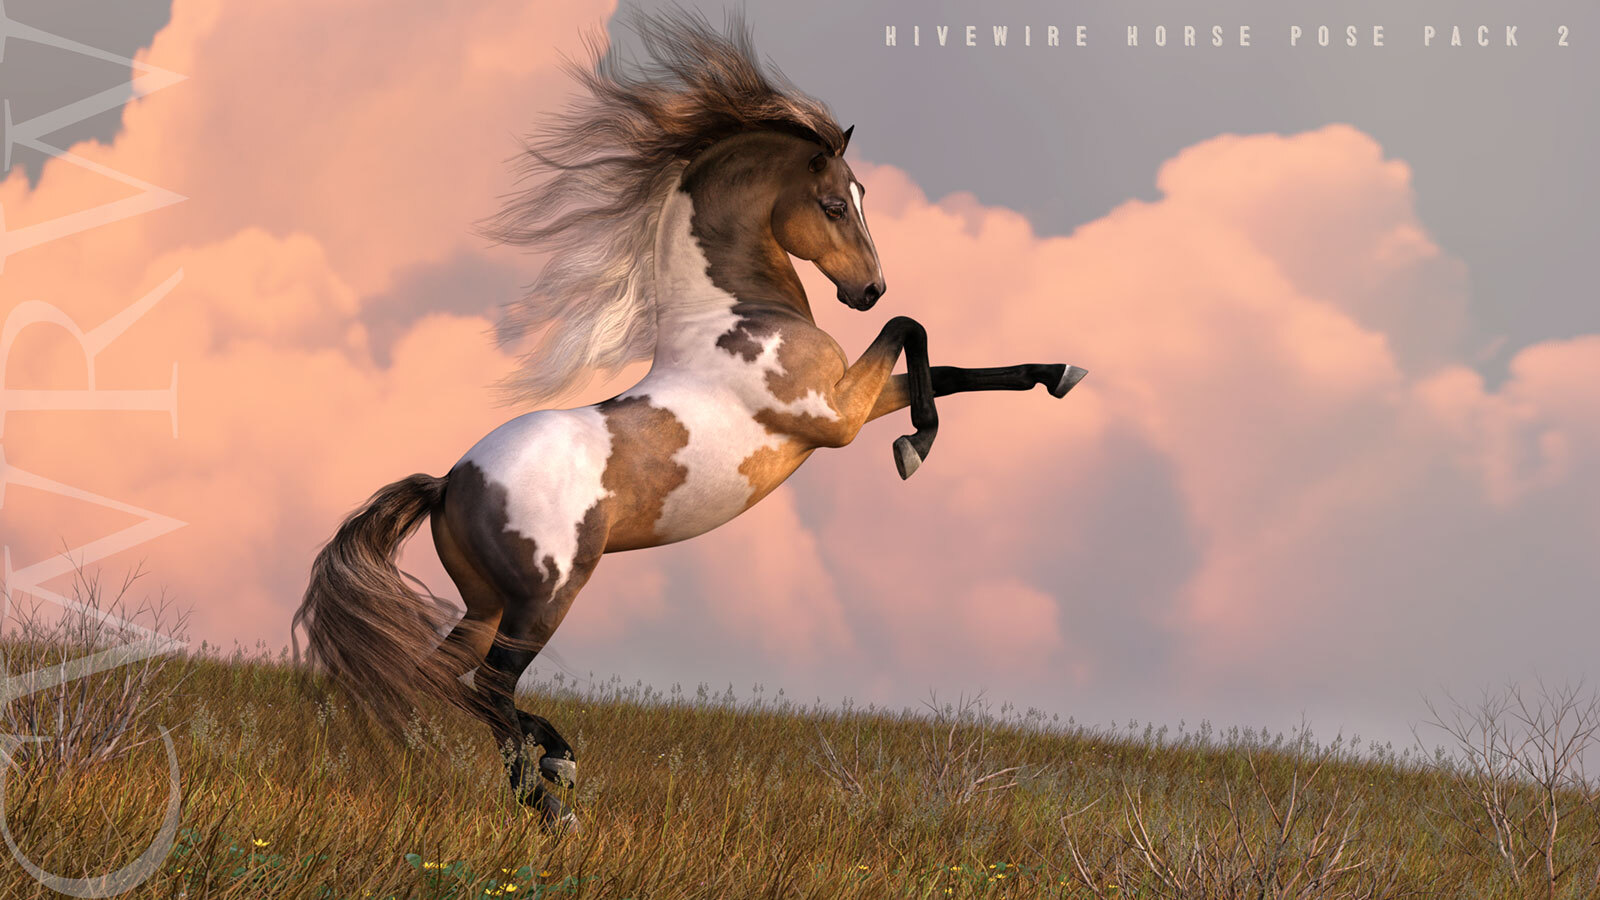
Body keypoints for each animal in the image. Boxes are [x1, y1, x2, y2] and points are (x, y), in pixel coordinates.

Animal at [293, 10, 1087, 832]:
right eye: (834, 203)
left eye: (862, 193)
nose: (868, 288)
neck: (736, 317)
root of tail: (450, 482)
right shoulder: (833, 416)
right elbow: (914, 331)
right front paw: (915, 448)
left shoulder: (846, 406)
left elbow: (949, 369)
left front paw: (1057, 374)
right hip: (544, 598)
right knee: (486, 687)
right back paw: (555, 795)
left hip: (486, 603)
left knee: (449, 681)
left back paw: (549, 769)